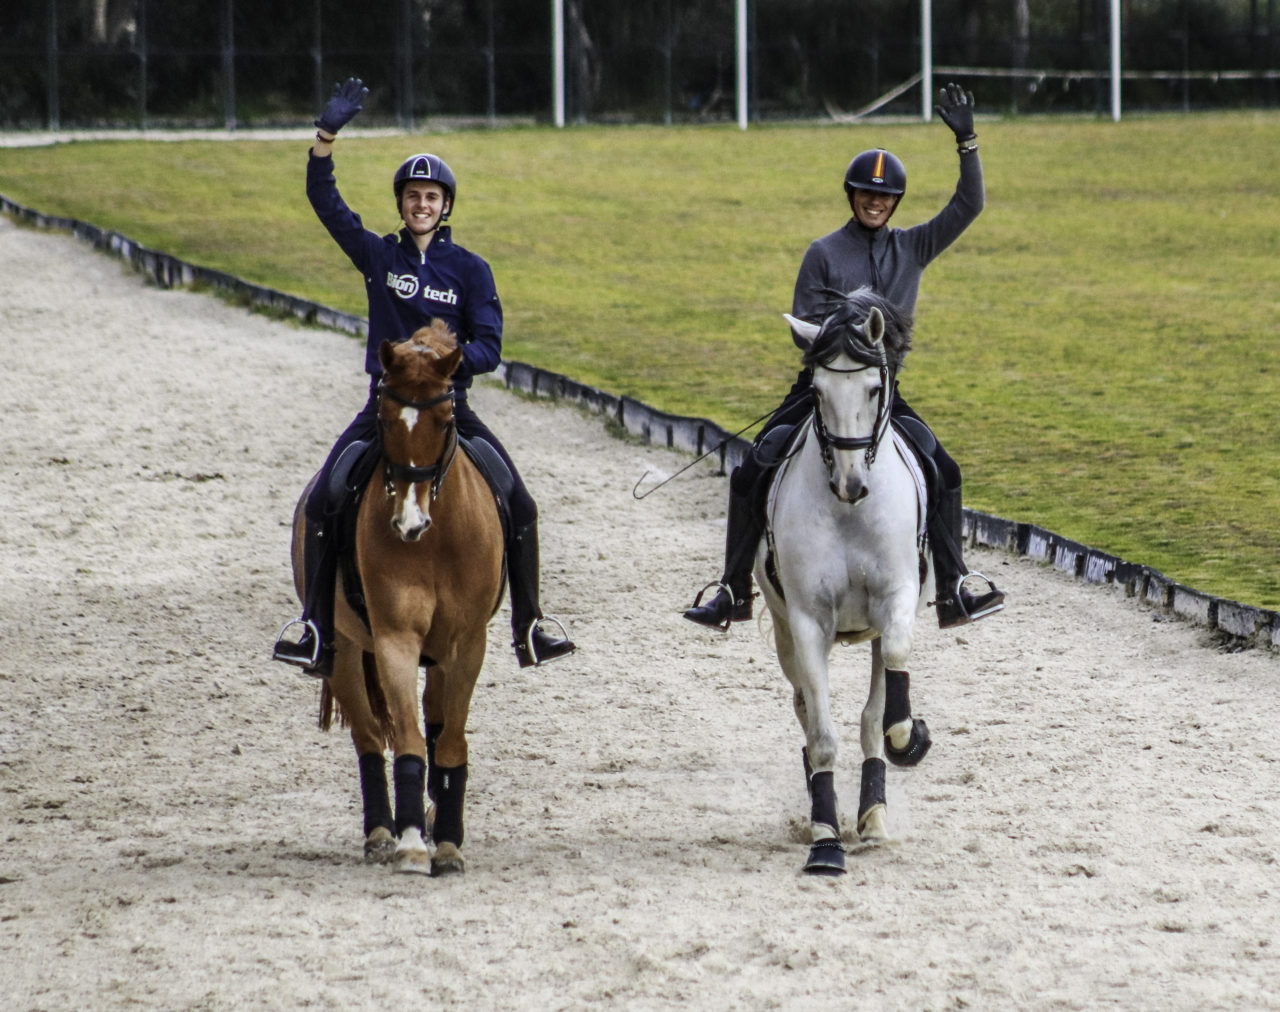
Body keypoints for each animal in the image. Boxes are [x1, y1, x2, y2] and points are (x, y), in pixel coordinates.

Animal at [291, 321, 504, 875]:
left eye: (446, 418)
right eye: (387, 417)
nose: (410, 524)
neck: (437, 538)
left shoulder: (467, 643)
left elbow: (449, 738)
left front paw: (446, 841)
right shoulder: (395, 638)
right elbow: (407, 738)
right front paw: (410, 843)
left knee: (436, 720)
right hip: (345, 650)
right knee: (368, 738)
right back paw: (381, 833)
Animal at [757, 286, 931, 880]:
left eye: (875, 387)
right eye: (817, 390)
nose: (851, 484)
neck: (850, 512)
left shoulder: (897, 600)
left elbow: (882, 711)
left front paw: (907, 739)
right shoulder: (808, 623)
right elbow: (824, 739)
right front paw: (826, 842)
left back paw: (873, 814)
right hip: (785, 629)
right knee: (805, 710)